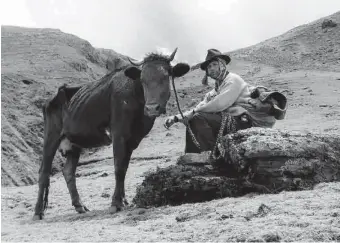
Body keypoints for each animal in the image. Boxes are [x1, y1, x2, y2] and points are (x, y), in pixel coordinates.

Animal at [32, 48, 190, 219]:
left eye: (166, 76)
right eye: (142, 79)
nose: (152, 108)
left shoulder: (133, 139)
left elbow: (124, 168)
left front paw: (123, 200)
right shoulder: (118, 134)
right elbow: (118, 167)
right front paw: (115, 203)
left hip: (74, 143)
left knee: (68, 171)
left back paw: (80, 206)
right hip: (51, 137)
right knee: (44, 172)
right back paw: (38, 212)